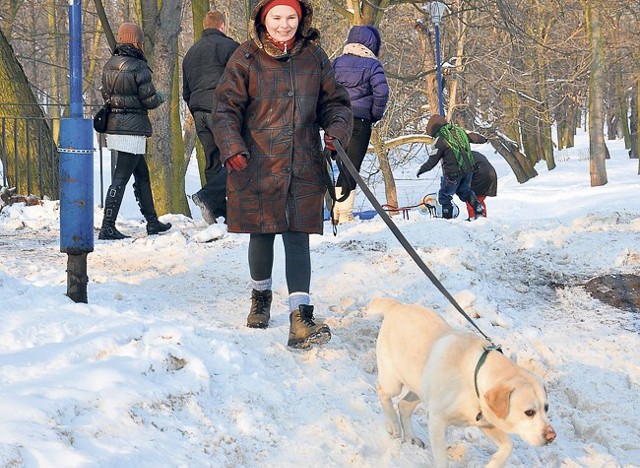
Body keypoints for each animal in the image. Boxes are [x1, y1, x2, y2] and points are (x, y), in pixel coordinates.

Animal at [370, 298, 556, 466]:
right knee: (382, 391)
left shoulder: (486, 422)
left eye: (546, 408)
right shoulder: (437, 420)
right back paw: (393, 425)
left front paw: (493, 463)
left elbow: (508, 446)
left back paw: (411, 437)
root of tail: (396, 306)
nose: (552, 436)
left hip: (421, 386)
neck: (475, 377)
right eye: (529, 412)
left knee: (403, 405)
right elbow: (442, 460)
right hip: (394, 382)